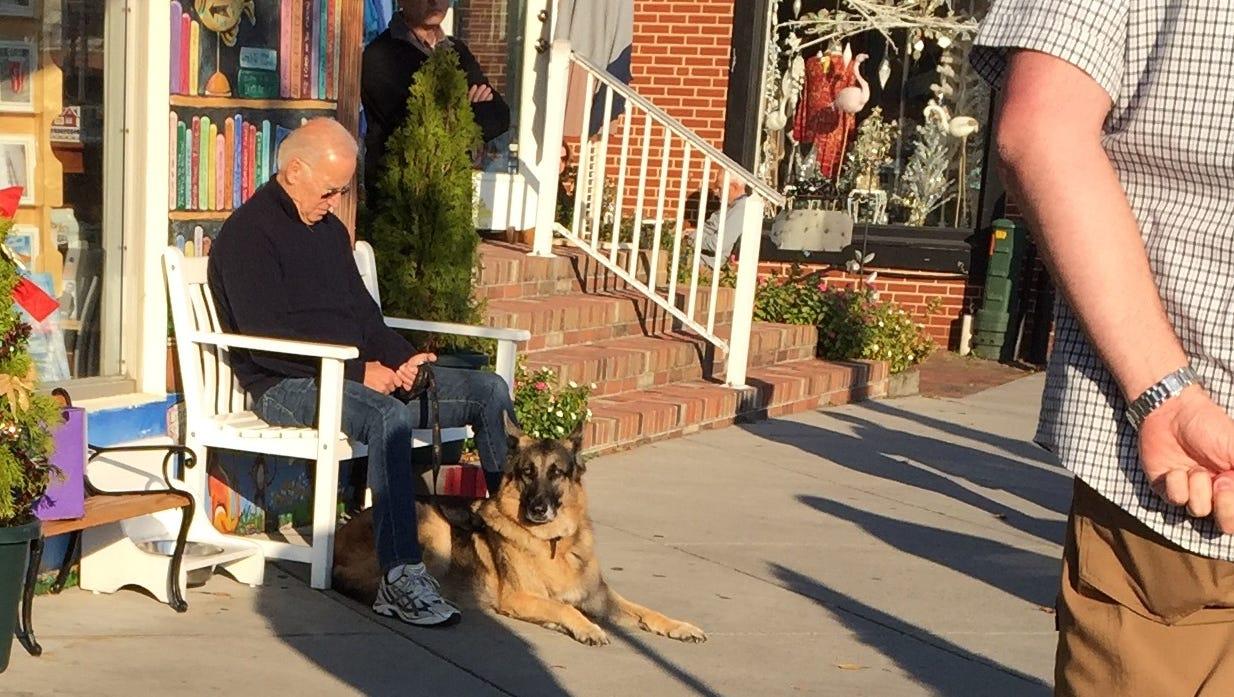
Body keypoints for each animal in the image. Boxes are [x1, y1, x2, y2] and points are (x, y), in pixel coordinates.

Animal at [333, 412, 710, 646]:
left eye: (556, 473)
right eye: (528, 472)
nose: (538, 508)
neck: (553, 542)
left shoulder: (600, 598)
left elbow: (645, 611)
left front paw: (679, 626)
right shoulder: (518, 596)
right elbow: (564, 607)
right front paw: (585, 627)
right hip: (434, 528)